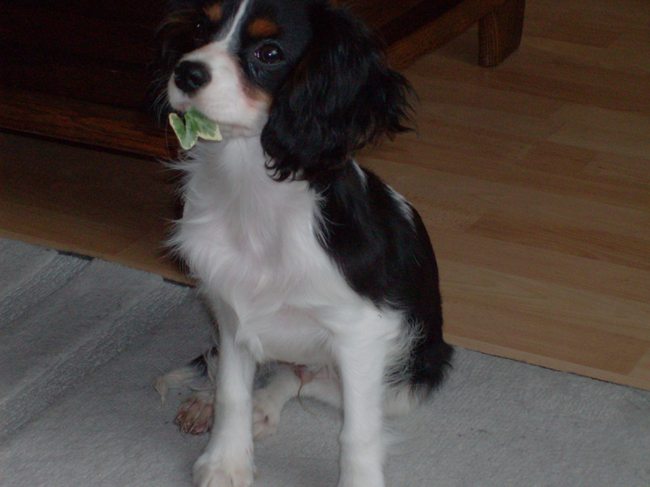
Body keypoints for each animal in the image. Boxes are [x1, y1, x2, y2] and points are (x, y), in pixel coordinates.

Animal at [154, 1, 453, 485]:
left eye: (270, 53)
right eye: (201, 27)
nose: (187, 73)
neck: (250, 187)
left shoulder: (362, 333)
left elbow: (357, 433)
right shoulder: (232, 315)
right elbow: (232, 393)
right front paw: (225, 461)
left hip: (407, 377)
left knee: (308, 381)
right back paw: (219, 403)